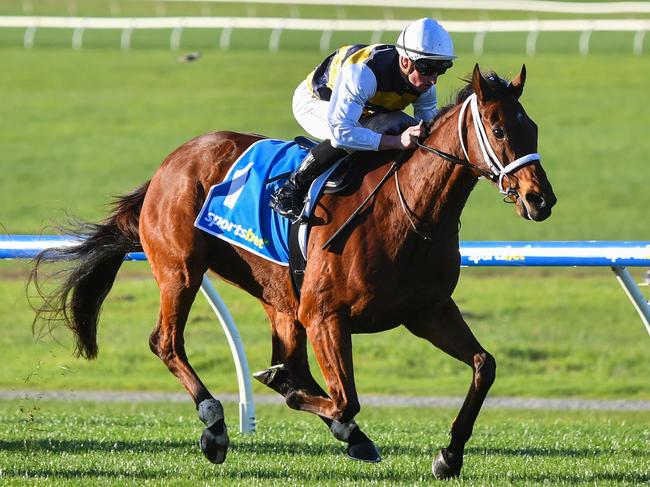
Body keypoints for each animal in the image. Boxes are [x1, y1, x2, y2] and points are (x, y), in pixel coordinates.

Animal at [30, 66, 556, 480]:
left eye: (532, 127)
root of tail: (170, 162)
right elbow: (345, 399)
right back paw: (215, 424)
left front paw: (449, 455)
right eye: (498, 129)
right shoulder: (327, 315)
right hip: (181, 270)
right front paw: (315, 408)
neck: (407, 211)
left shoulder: (427, 310)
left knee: (291, 360)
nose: (540, 199)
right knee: (167, 342)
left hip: (277, 292)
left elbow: (484, 365)